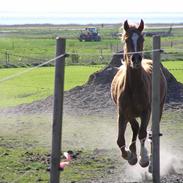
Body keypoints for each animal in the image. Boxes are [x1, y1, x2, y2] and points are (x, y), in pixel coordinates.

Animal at [111, 19, 167, 167]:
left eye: (142, 39)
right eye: (126, 39)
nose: (136, 59)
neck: (133, 87)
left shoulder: (146, 112)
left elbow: (142, 133)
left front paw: (144, 158)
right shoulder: (123, 113)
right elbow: (121, 139)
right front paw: (130, 155)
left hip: (159, 108)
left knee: (151, 133)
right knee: (135, 127)